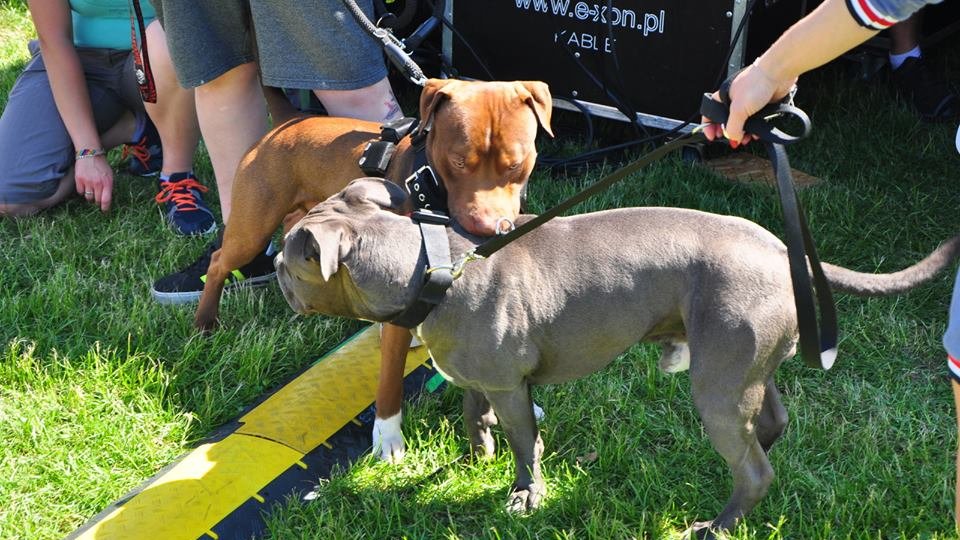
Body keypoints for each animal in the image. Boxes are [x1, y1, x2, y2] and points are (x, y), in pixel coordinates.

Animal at [193, 79, 556, 460]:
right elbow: (390, 380)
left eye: (516, 164)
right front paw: (387, 437)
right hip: (252, 228)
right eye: (458, 161)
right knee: (220, 261)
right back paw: (205, 321)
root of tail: (289, 119)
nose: (489, 228)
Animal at [274, 178, 956, 536]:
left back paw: (717, 525)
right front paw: (473, 462)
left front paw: (524, 495)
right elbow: (475, 419)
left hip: (715, 384)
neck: (434, 268)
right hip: (741, 367)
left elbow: (524, 444)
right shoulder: (479, 378)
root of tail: (779, 250)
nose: (273, 267)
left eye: (288, 257)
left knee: (755, 469)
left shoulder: (510, 385)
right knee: (770, 423)